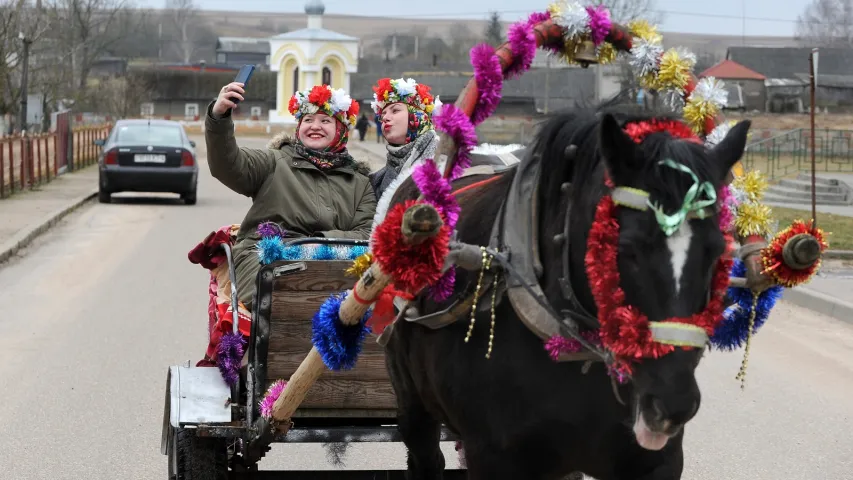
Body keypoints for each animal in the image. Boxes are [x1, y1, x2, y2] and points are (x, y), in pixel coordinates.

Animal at [382, 106, 748, 480]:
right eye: (626, 248)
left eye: (717, 250)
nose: (673, 401)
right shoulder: (491, 456)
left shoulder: (657, 460)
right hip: (411, 400)